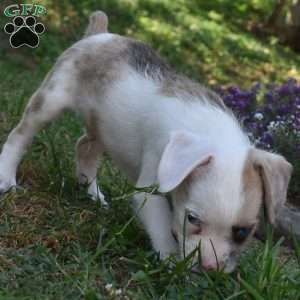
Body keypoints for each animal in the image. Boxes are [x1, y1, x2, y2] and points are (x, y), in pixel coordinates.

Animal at [0, 12, 292, 274]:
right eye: (192, 219)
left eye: (243, 231)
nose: (209, 269)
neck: (213, 134)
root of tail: (100, 33)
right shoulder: (149, 192)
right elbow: (162, 229)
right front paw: (173, 263)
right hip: (50, 100)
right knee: (20, 136)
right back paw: (7, 177)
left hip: (104, 129)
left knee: (85, 148)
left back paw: (94, 195)